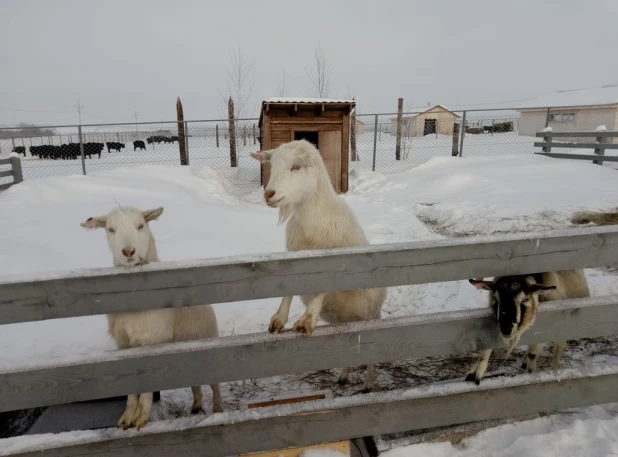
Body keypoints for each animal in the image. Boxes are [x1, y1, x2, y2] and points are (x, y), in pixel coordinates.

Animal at [80, 208, 221, 430]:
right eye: (110, 229)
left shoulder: (152, 342)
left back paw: (217, 409)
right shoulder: (124, 344)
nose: (128, 252)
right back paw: (196, 406)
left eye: (141, 225)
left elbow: (148, 385)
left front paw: (140, 418)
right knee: (196, 383)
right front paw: (127, 418)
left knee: (215, 385)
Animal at [250, 141, 384, 390]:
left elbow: (321, 289)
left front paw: (306, 319)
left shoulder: (332, 262)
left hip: (373, 315)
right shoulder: (294, 256)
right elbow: (288, 289)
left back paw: (369, 383)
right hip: (344, 322)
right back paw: (343, 375)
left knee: (371, 352)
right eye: (273, 165)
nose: (269, 194)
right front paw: (279, 319)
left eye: (296, 166)